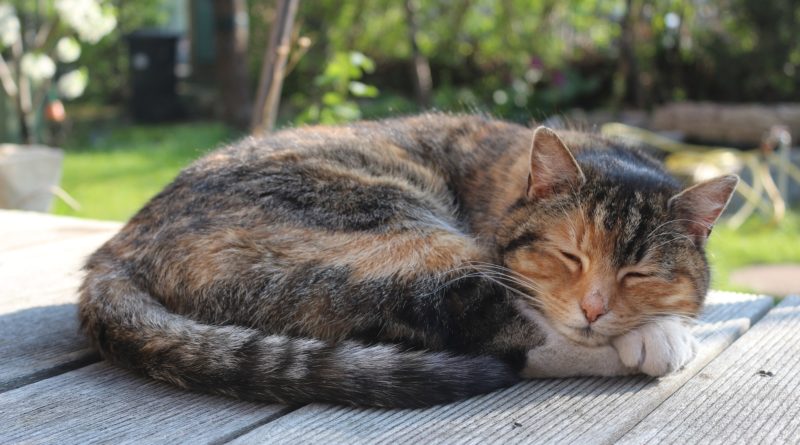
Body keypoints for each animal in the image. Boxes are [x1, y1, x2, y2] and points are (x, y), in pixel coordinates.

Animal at [76, 113, 736, 406]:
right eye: (569, 254)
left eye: (638, 272)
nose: (596, 309)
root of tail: (118, 246)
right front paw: (659, 335)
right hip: (390, 223)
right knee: (485, 331)